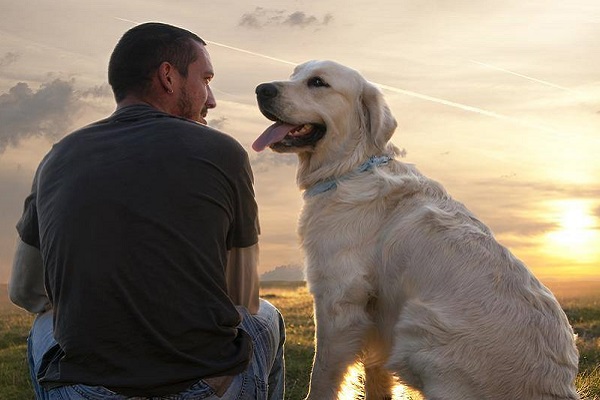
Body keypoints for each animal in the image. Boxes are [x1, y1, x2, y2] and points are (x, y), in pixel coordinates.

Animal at [252, 60, 576, 400]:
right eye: (294, 75)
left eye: (318, 83)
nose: (262, 89)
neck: (350, 168)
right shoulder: (375, 315)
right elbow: (375, 375)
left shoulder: (338, 299)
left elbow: (323, 375)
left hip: (416, 328)